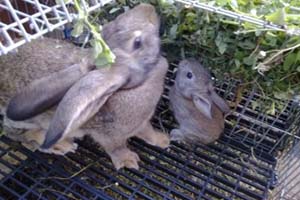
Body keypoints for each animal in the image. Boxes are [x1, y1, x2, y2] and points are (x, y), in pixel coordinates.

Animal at [2, 3, 170, 169]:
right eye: (137, 42)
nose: (147, 7)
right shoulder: (109, 136)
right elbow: (116, 148)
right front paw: (128, 161)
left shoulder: (143, 123)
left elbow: (148, 132)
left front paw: (163, 140)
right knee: (25, 135)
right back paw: (62, 146)